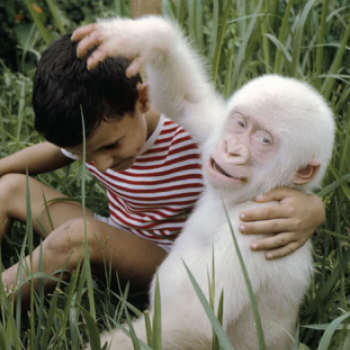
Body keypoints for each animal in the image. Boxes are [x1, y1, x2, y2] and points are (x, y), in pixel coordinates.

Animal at [72, 14, 334, 350]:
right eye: (240, 124)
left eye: (263, 140)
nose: (232, 149)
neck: (243, 198)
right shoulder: (213, 130)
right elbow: (186, 100)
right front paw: (141, 38)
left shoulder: (255, 231)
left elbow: (194, 319)